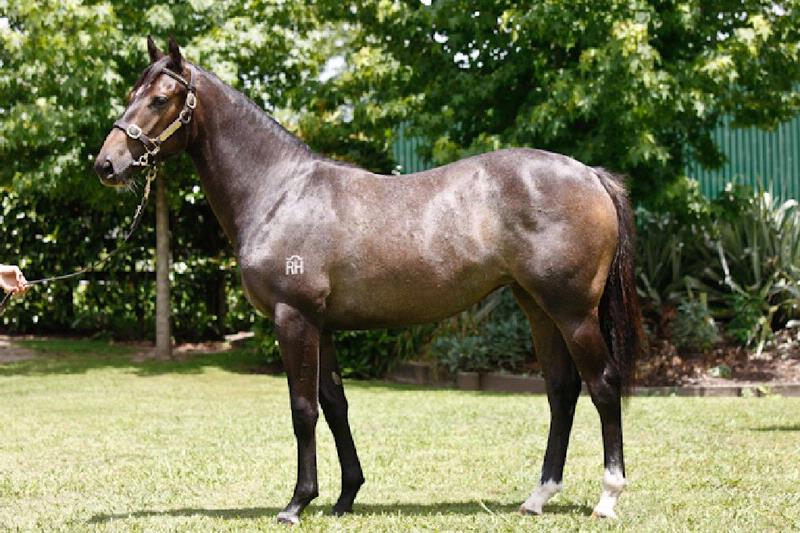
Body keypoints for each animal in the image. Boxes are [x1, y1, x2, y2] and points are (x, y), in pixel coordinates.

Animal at [94, 37, 644, 524]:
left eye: (159, 98)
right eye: (130, 95)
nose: (107, 164)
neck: (280, 191)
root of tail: (589, 174)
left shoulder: (293, 319)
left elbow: (303, 410)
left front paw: (296, 503)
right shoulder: (322, 326)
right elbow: (335, 404)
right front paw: (344, 497)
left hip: (572, 312)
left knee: (603, 385)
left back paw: (607, 497)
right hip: (537, 307)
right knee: (561, 390)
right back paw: (537, 497)